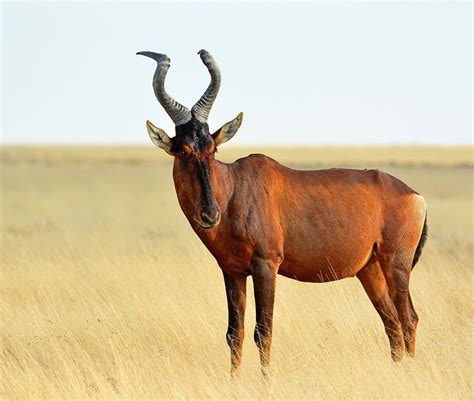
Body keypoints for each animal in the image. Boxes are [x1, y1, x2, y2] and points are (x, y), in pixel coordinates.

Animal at [138, 49, 430, 376]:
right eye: (183, 150)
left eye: (212, 149)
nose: (210, 214)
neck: (235, 186)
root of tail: (414, 195)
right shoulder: (232, 271)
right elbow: (234, 332)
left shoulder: (267, 265)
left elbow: (263, 331)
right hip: (370, 269)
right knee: (391, 323)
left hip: (397, 264)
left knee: (408, 319)